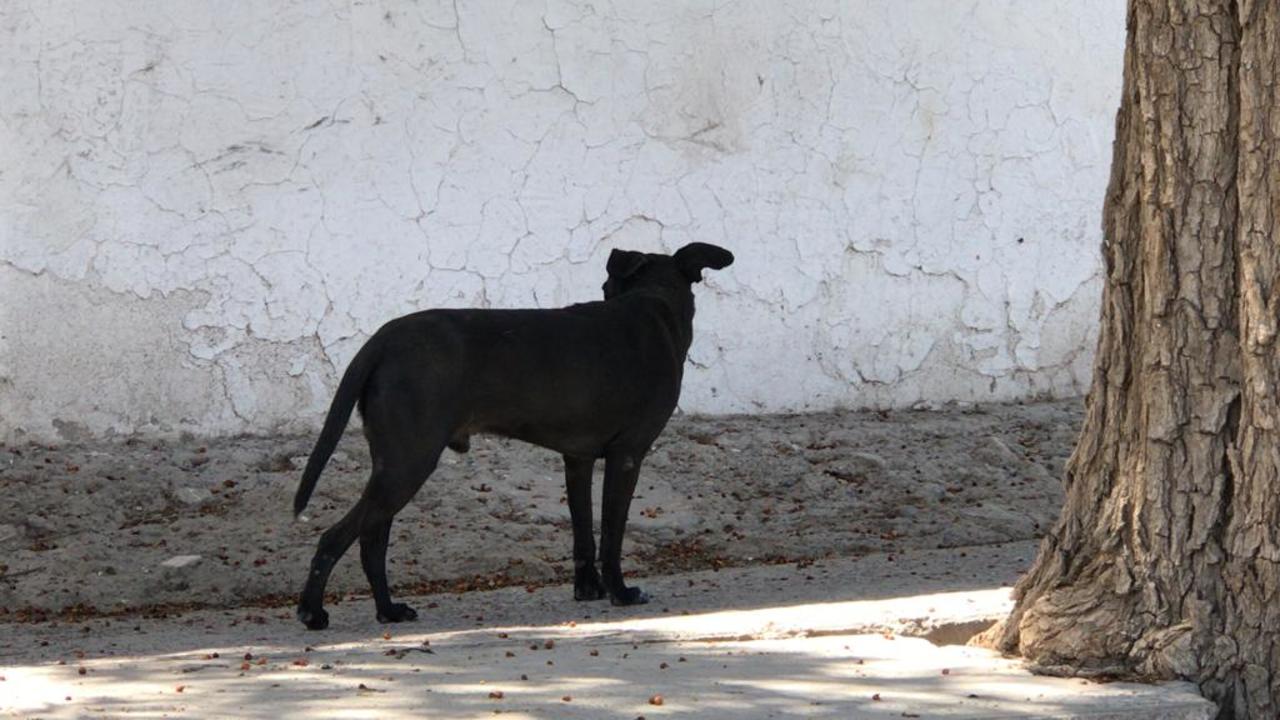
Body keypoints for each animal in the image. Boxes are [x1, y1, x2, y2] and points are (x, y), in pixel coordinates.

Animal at [293, 242, 734, 629]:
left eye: (606, 287)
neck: (652, 304)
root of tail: (383, 340)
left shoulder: (577, 459)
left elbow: (583, 531)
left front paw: (587, 589)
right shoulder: (627, 455)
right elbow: (611, 533)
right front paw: (620, 592)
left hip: (392, 464)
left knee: (371, 541)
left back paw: (389, 610)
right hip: (408, 461)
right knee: (334, 538)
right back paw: (312, 613)